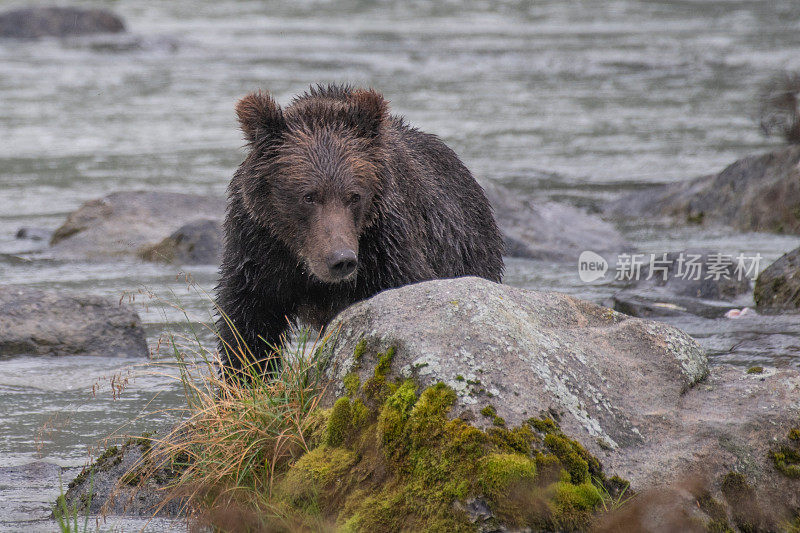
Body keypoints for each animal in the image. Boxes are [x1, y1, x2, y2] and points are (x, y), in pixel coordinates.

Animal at [216, 85, 504, 376]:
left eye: (354, 196)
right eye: (308, 196)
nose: (341, 259)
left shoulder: (386, 247)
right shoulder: (259, 247)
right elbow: (247, 327)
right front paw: (244, 374)